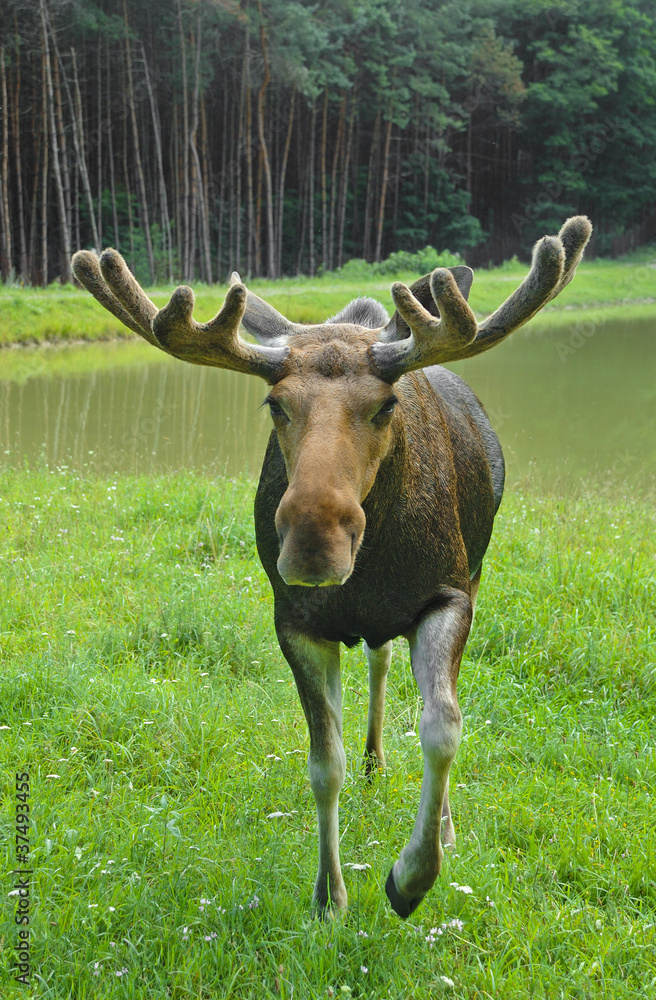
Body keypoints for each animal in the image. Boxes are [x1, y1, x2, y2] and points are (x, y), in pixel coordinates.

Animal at [73, 215, 596, 916]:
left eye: (386, 404)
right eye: (275, 404)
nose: (313, 544)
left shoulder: (450, 593)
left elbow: (443, 725)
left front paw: (414, 873)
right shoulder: (296, 620)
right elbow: (326, 763)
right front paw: (330, 895)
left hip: (475, 567)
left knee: (399, 670)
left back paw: (437, 819)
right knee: (374, 661)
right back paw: (375, 761)